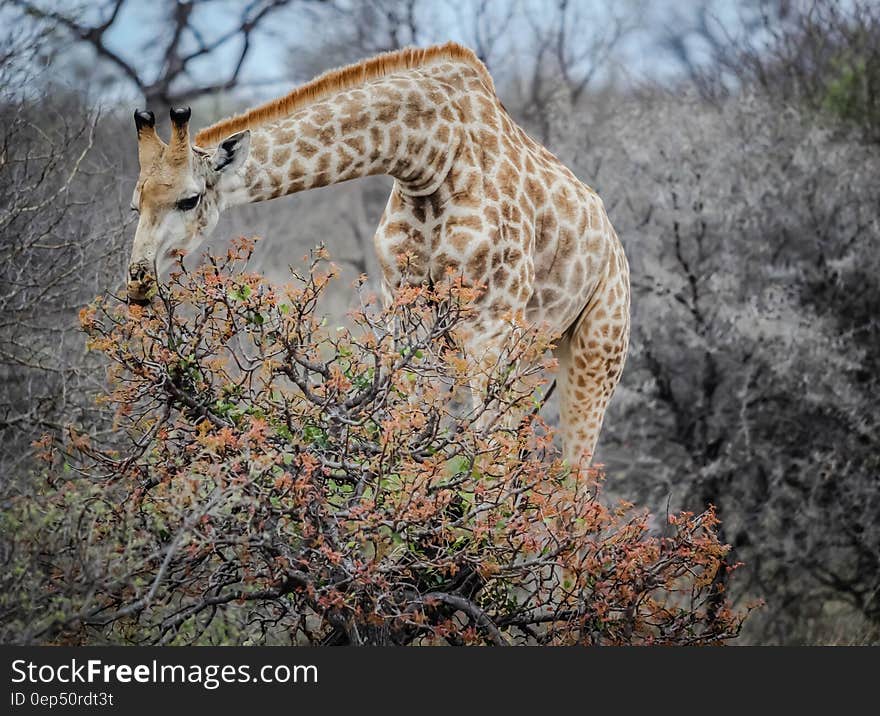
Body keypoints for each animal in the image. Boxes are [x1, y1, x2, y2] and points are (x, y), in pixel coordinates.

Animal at [127, 42, 628, 468]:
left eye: (189, 200)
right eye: (135, 204)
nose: (138, 282)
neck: (429, 156)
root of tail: (614, 243)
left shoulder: (489, 321)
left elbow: (484, 452)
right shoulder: (401, 305)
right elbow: (403, 423)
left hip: (597, 348)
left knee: (574, 474)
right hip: (536, 346)